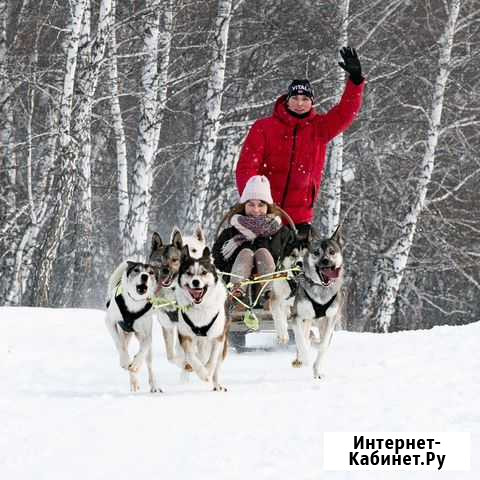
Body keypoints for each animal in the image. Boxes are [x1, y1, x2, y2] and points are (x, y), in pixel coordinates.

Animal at [105, 260, 159, 392]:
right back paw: (133, 379)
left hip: (144, 344)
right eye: (136, 270)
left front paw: (136, 363)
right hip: (124, 334)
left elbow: (143, 348)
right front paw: (125, 361)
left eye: (151, 272)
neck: (134, 303)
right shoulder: (110, 321)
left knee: (148, 362)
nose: (144, 276)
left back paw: (153, 385)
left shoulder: (147, 334)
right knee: (123, 347)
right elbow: (120, 345)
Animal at [175, 246, 230, 392]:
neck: (200, 308)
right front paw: (201, 372)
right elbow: (191, 357)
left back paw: (217, 385)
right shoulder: (185, 335)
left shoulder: (217, 337)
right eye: (189, 273)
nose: (195, 282)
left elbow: (212, 360)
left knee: (216, 364)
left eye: (204, 272)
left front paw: (207, 372)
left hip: (222, 345)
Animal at [290, 225, 344, 378]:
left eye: (332, 252)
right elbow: (301, 340)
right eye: (316, 252)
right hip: (305, 319)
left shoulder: (331, 318)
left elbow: (323, 345)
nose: (325, 260)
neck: (321, 289)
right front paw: (305, 358)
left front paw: (317, 369)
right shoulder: (296, 317)